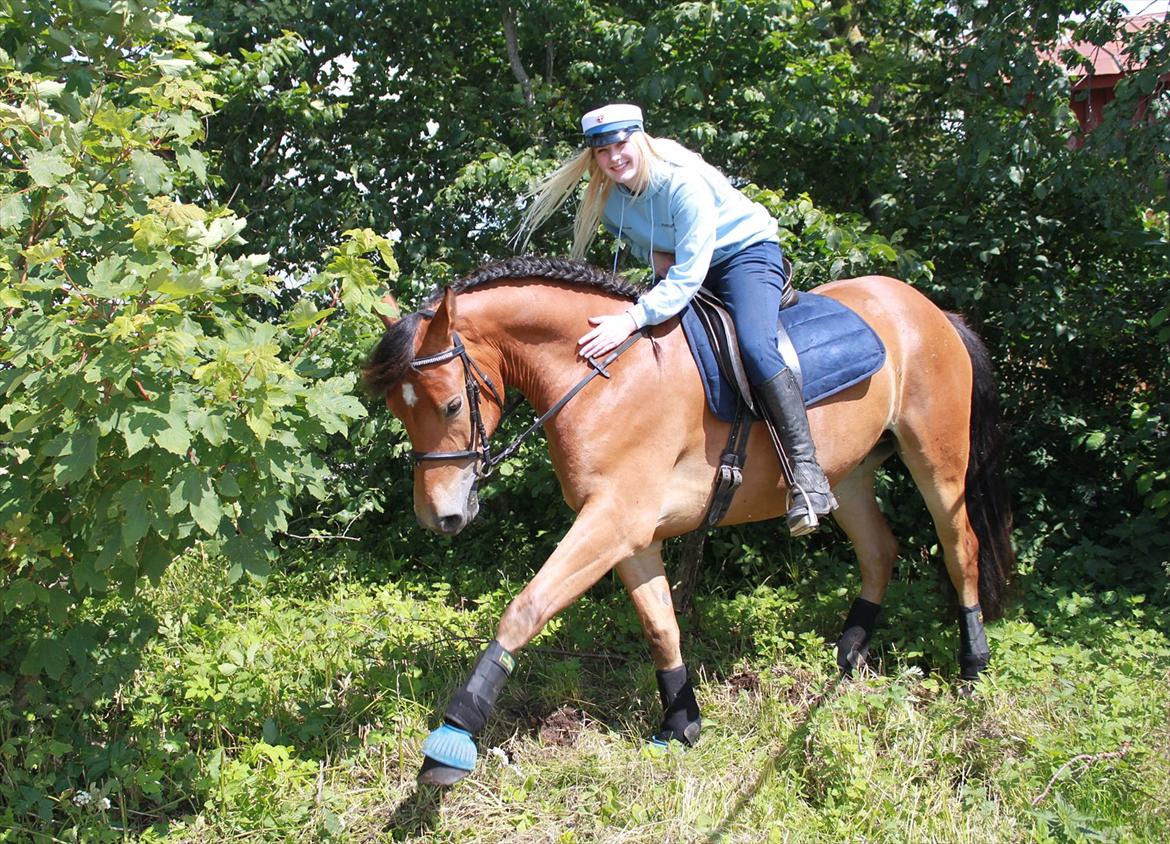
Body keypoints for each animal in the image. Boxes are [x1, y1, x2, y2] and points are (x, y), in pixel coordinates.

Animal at [365, 255, 1015, 781]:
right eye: (398, 408)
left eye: (452, 404)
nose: (440, 515)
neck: (604, 376)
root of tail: (931, 312)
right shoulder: (630, 534)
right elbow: (661, 626)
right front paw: (681, 725)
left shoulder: (614, 520)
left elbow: (526, 609)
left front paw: (452, 738)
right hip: (850, 475)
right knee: (880, 550)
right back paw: (849, 655)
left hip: (938, 462)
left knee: (961, 549)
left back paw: (973, 667)